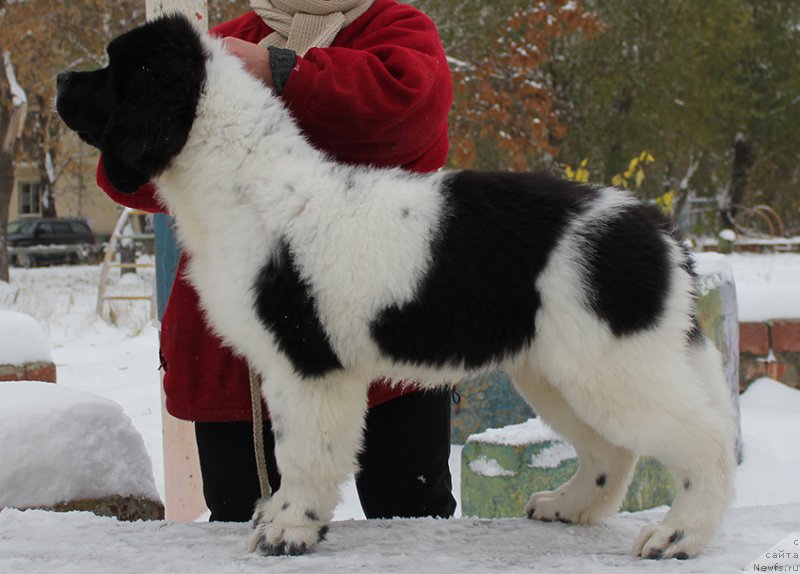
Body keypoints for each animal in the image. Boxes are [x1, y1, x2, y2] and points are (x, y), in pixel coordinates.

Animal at [56, 14, 736, 564]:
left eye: (115, 69)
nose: (62, 79)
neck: (246, 184)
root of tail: (660, 231)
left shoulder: (310, 365)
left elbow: (305, 453)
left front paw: (290, 532)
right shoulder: (284, 368)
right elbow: (292, 451)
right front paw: (279, 517)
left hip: (612, 362)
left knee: (704, 439)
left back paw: (679, 536)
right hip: (559, 369)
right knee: (610, 453)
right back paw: (568, 507)